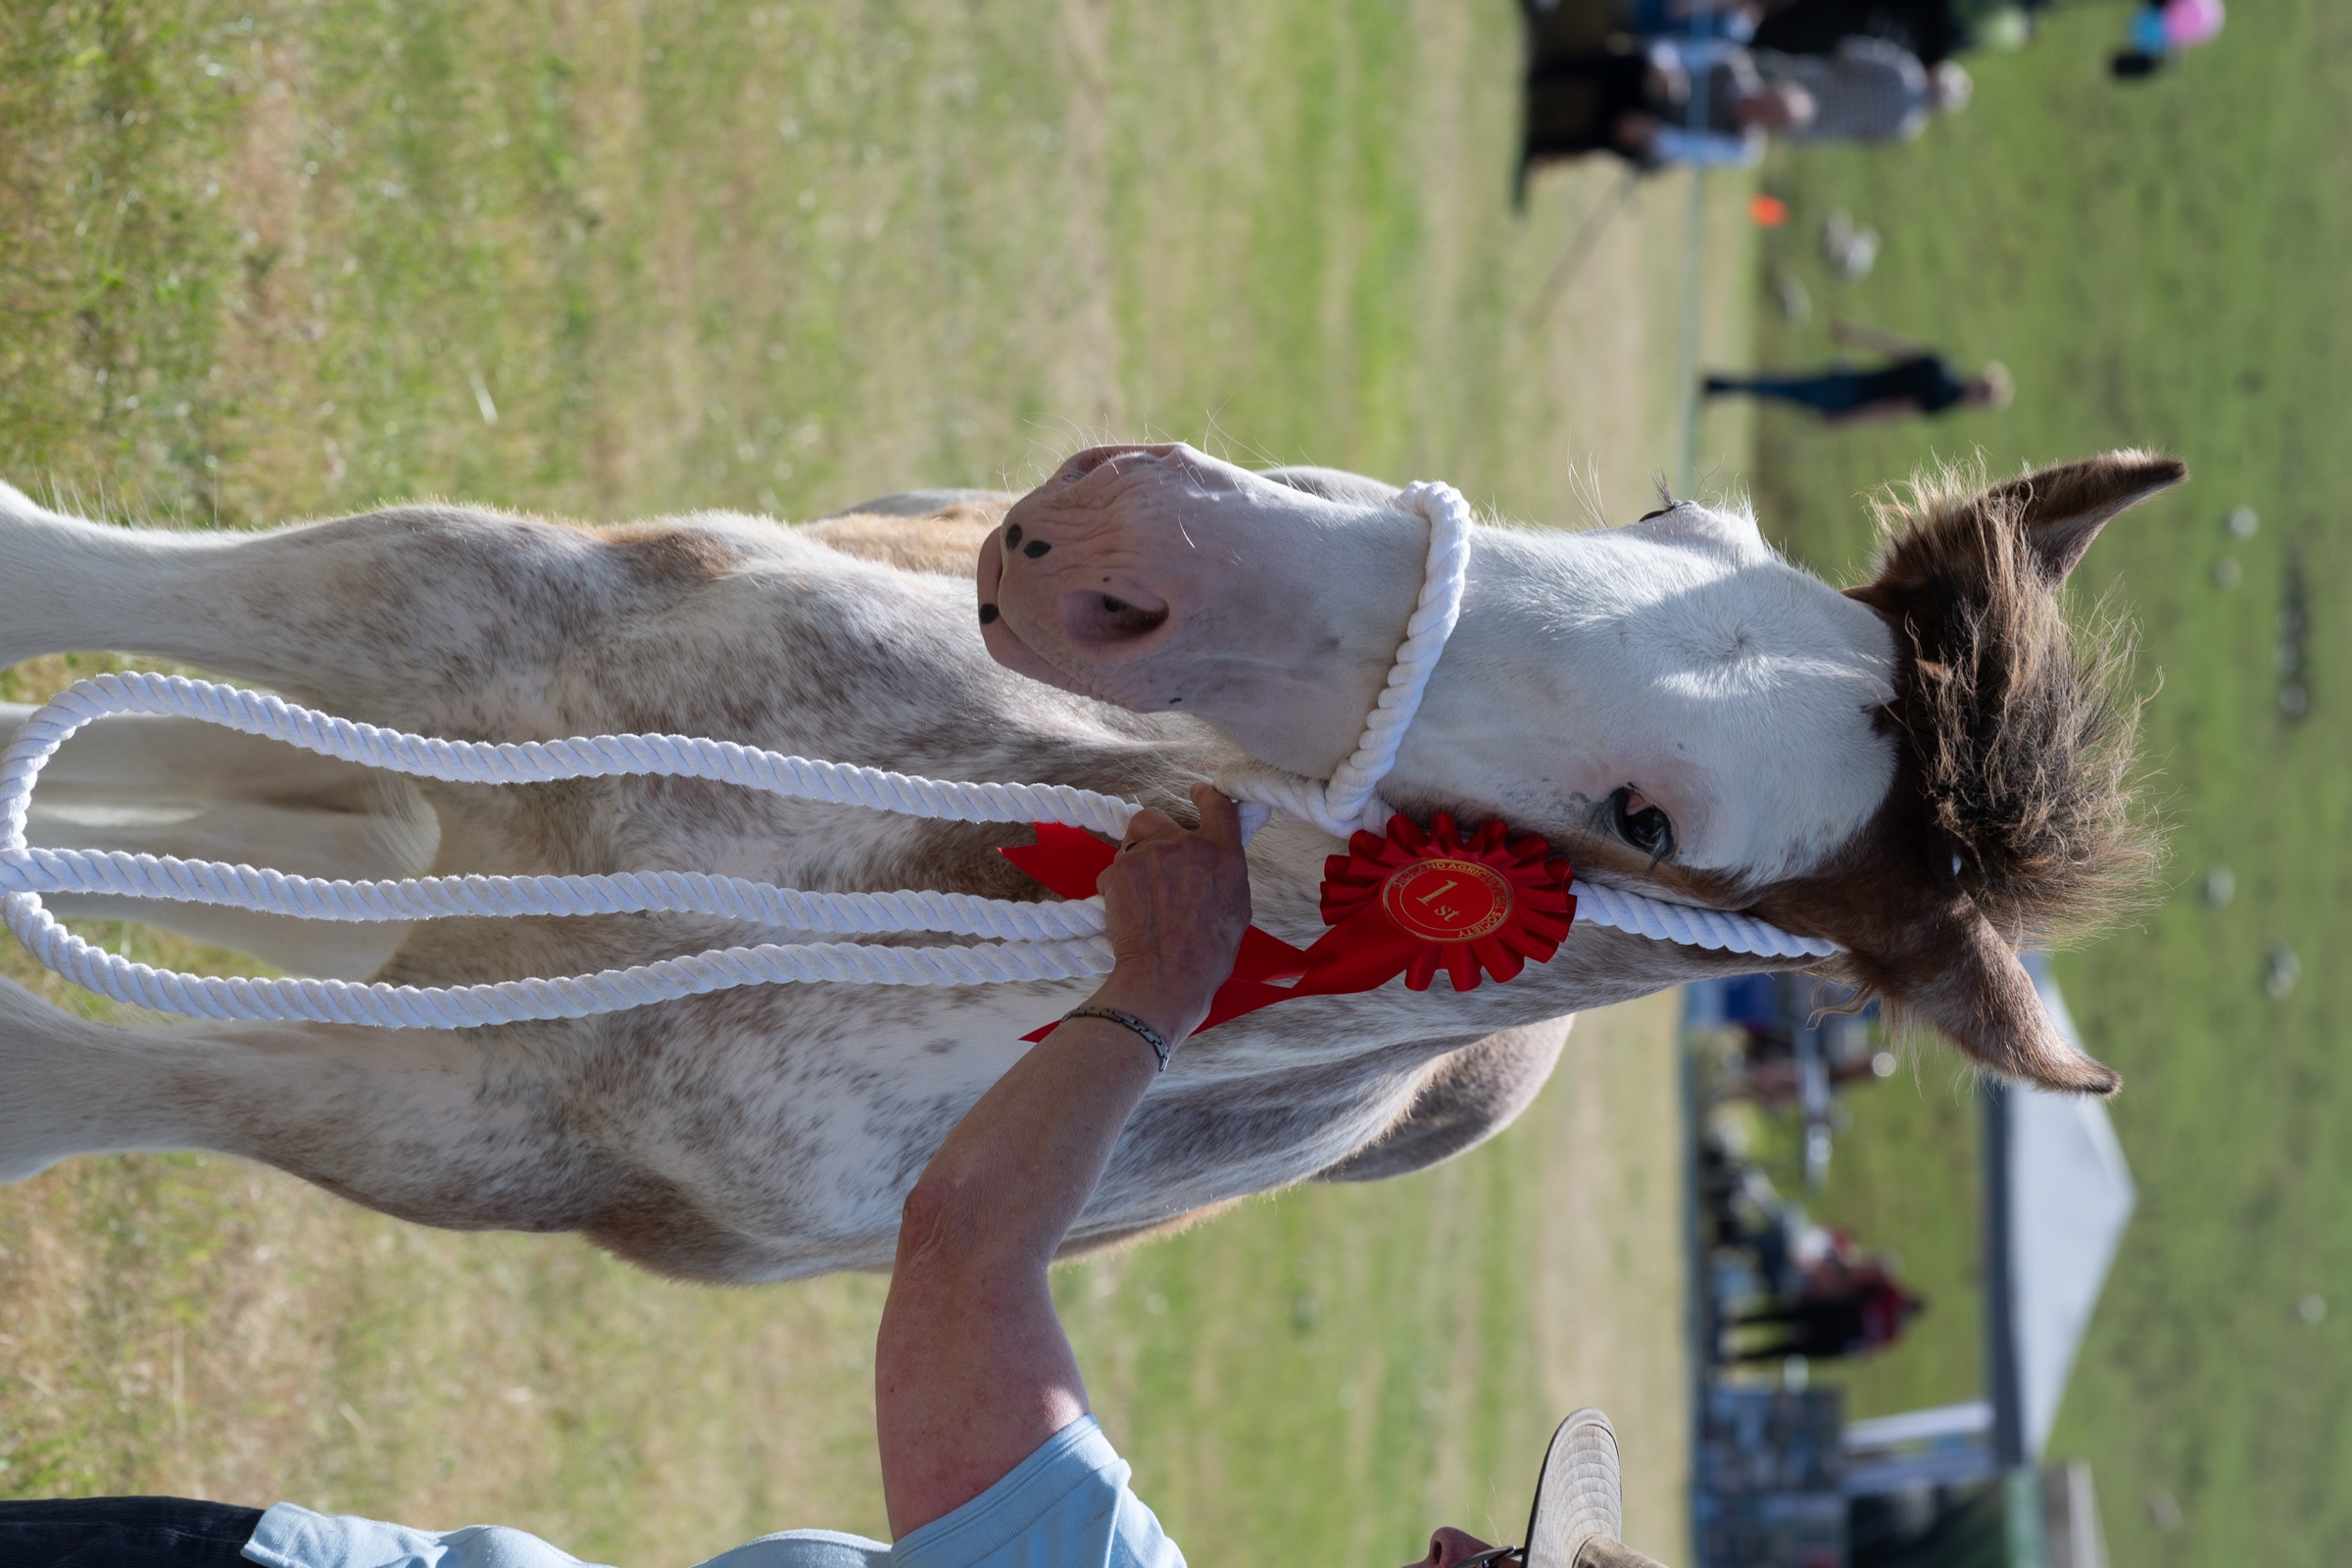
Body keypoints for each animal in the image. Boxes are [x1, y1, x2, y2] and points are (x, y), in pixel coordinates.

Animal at [0, 443, 2174, 1281]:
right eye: (1669, 508)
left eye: (1658, 826)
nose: (1131, 546)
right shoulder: (478, 624)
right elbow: (99, 582)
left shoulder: (463, 1127)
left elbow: (69, 1084)